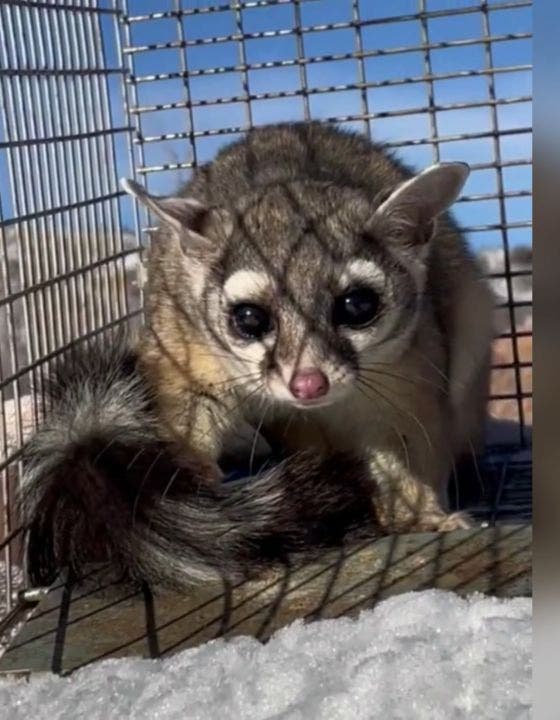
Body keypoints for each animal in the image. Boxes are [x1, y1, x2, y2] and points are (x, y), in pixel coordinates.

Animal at [21, 121, 492, 588]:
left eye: (357, 305)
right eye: (250, 318)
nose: (308, 384)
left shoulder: (409, 367)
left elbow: (405, 438)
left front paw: (420, 514)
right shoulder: (186, 341)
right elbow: (187, 417)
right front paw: (204, 498)